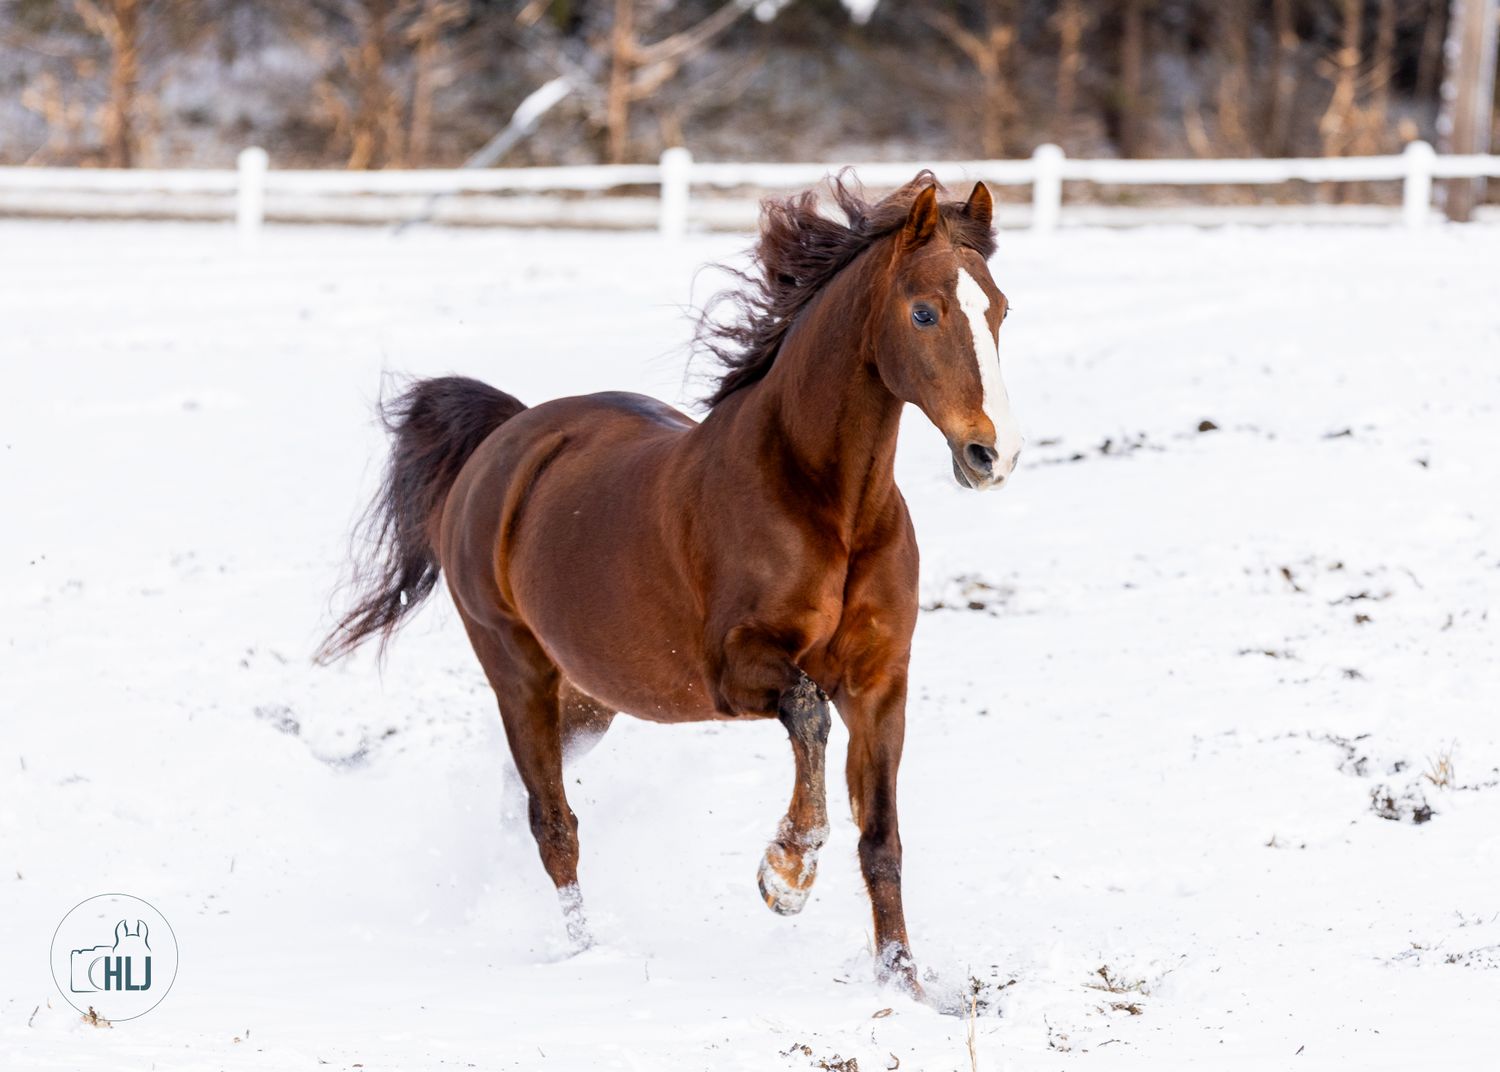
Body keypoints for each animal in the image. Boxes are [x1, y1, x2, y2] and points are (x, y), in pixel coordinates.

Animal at [318, 172, 1022, 996]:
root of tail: (507, 437)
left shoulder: (881, 684)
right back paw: (584, 951)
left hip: (589, 699)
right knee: (552, 823)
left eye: (999, 308)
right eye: (924, 311)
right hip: (517, 670)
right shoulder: (736, 672)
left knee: (522, 797)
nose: (993, 455)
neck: (828, 507)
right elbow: (808, 716)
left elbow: (882, 840)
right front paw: (785, 875)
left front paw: (906, 986)